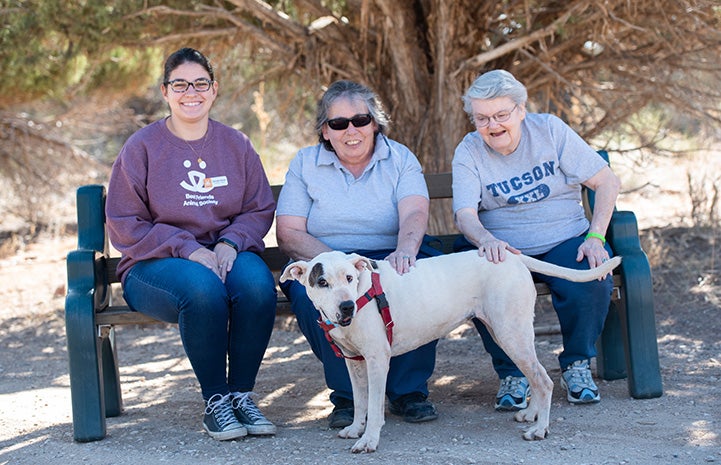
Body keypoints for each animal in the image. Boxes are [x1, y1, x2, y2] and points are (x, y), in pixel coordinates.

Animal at [280, 250, 620, 454]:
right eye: (321, 282)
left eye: (349, 278)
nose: (347, 306)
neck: (363, 292)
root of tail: (511, 257)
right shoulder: (355, 363)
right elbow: (361, 402)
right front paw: (354, 429)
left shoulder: (378, 361)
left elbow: (375, 408)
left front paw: (369, 440)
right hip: (506, 335)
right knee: (535, 377)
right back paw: (531, 414)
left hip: (511, 334)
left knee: (544, 380)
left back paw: (539, 430)